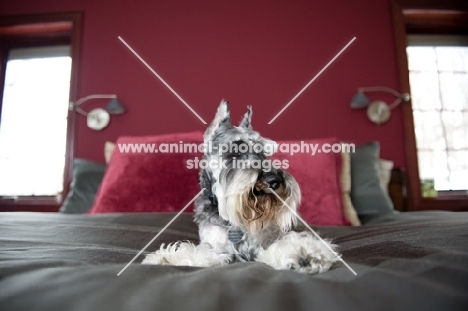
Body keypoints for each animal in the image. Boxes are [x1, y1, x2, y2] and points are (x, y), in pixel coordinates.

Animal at [144, 101, 340, 274]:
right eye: (236, 152)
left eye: (263, 152)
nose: (274, 180)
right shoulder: (217, 245)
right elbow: (203, 253)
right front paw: (166, 258)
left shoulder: (267, 239)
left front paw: (306, 254)